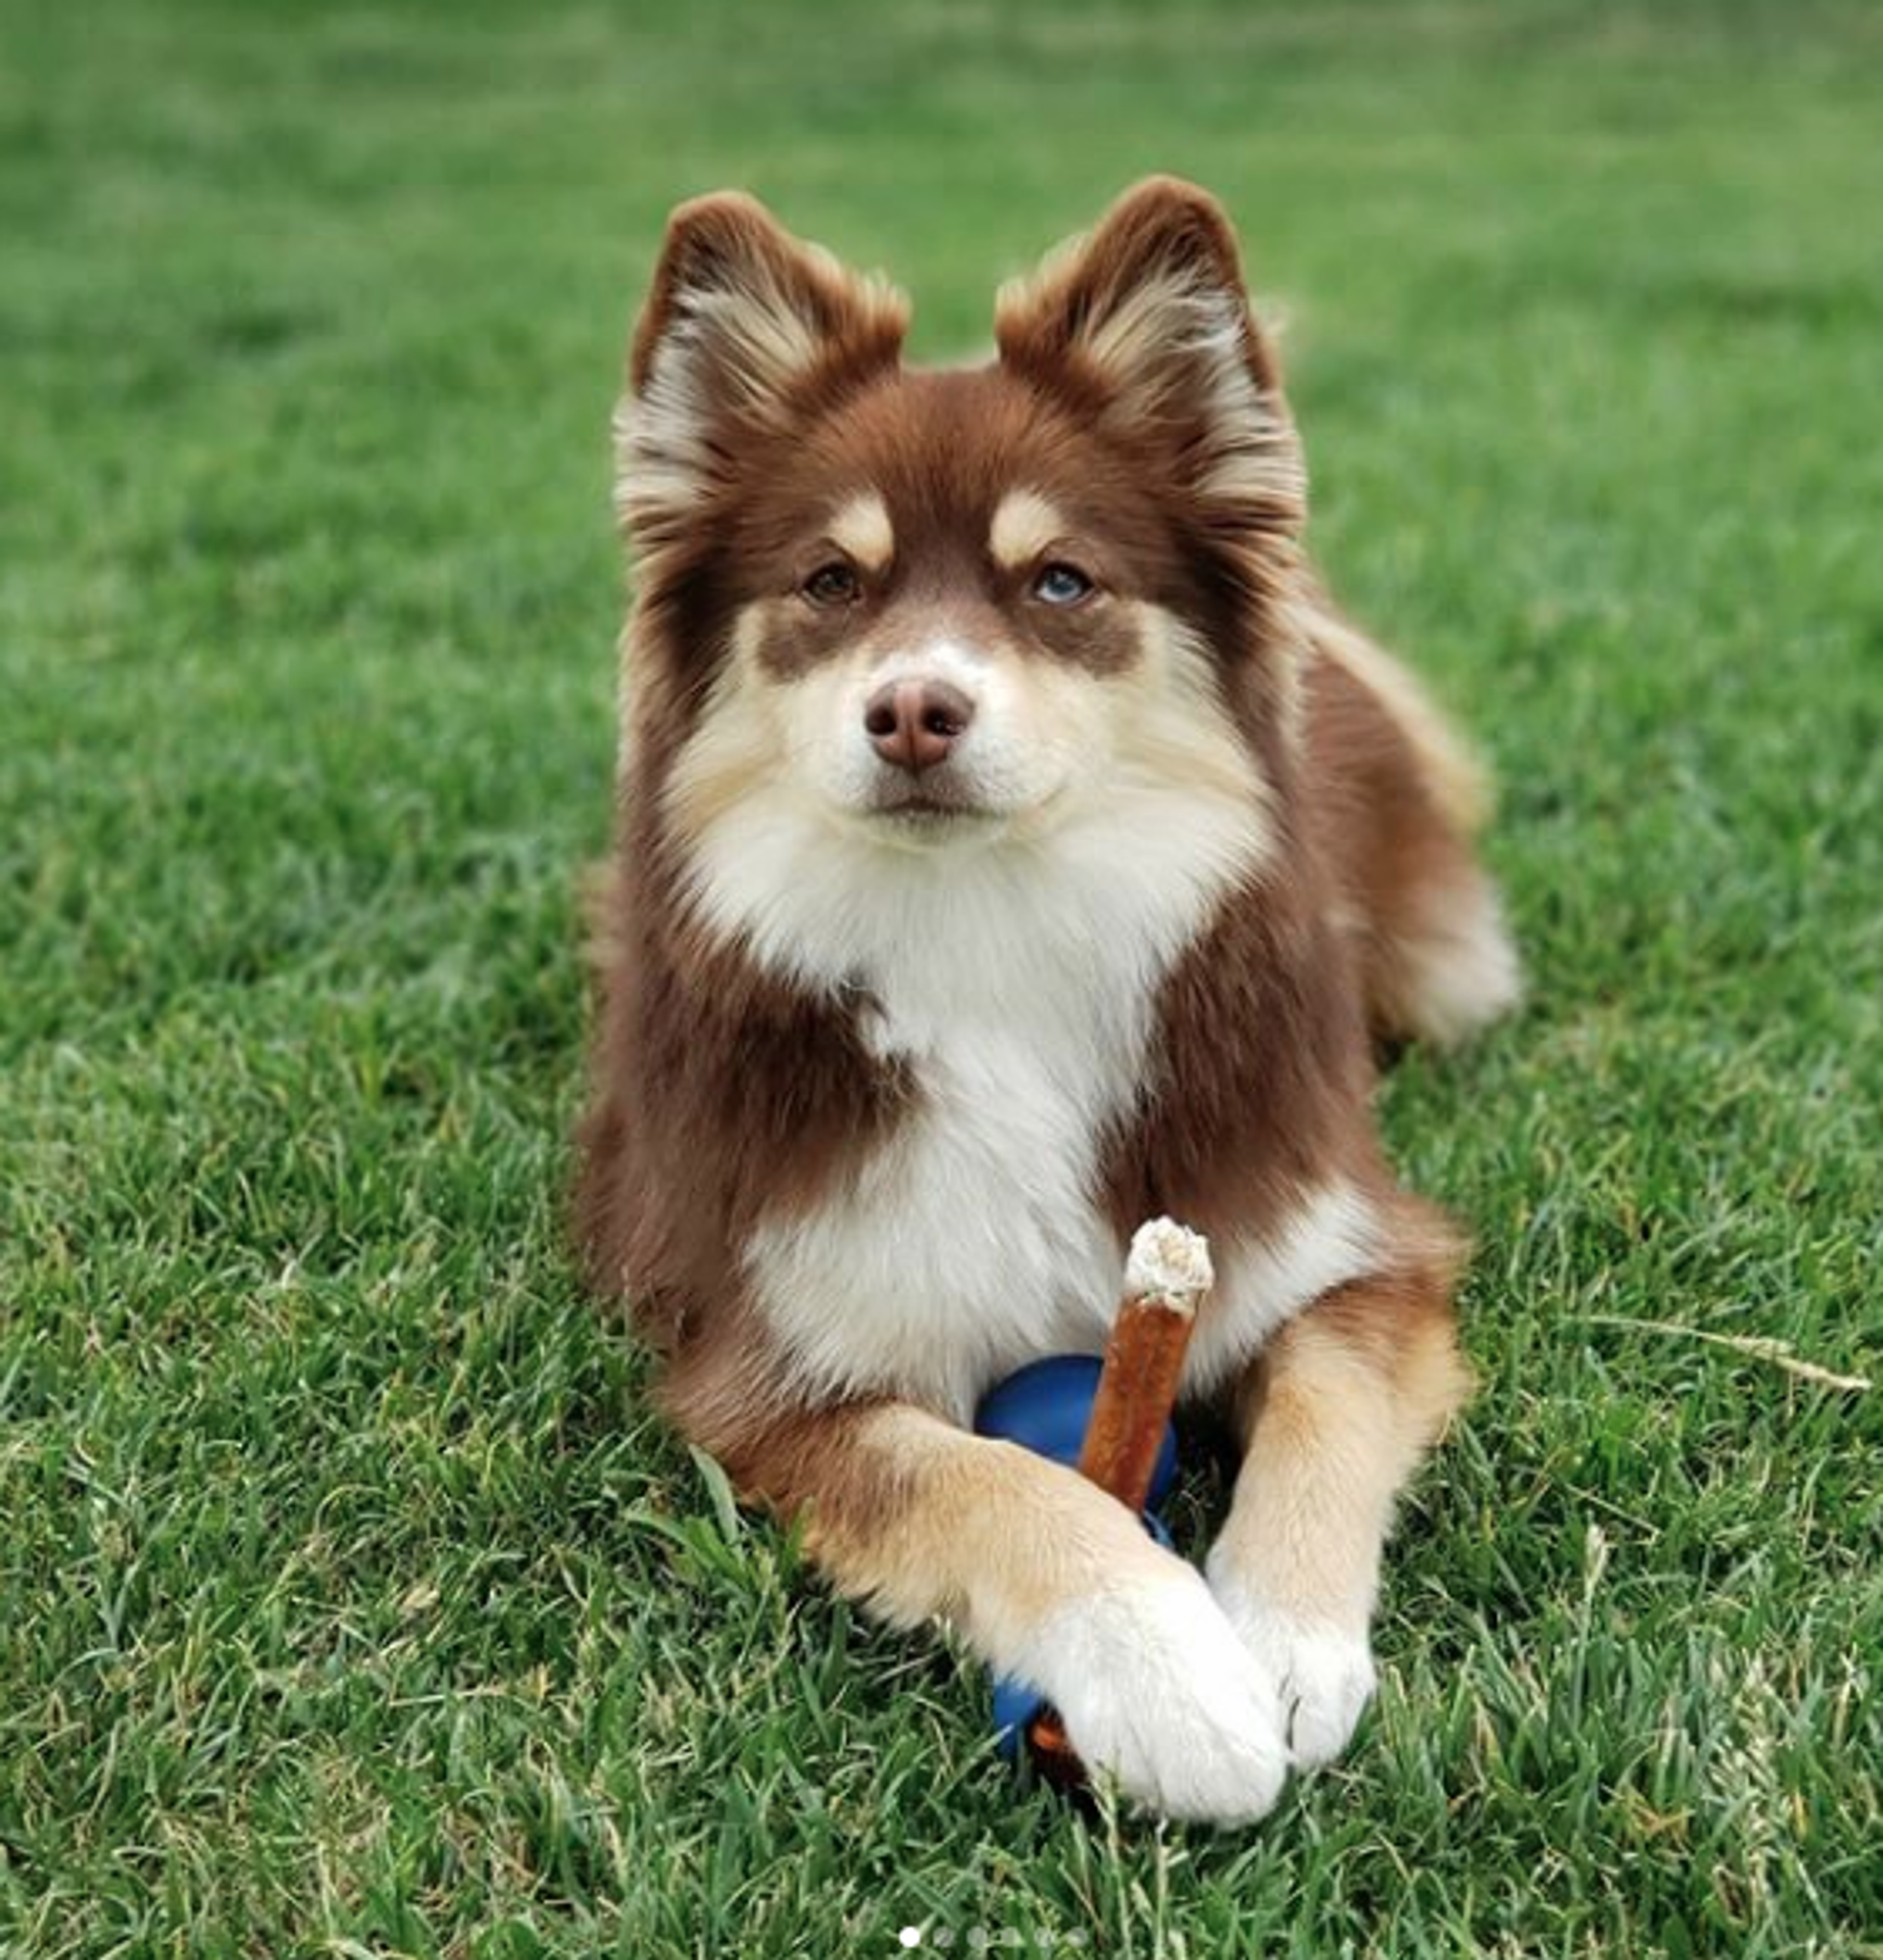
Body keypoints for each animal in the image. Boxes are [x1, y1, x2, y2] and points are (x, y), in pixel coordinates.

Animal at [580, 180, 1520, 1819]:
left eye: (1061, 580)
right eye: (830, 582)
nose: (913, 710)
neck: (990, 930)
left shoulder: (1350, 1250)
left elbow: (1328, 1407)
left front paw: (1283, 1643)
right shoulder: (772, 1369)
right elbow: (986, 1479)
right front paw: (1168, 1674)